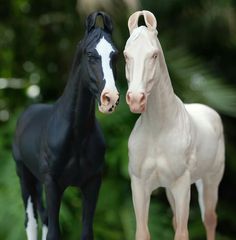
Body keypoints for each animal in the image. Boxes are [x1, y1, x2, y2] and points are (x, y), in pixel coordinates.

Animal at [12, 11, 119, 240]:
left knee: (43, 219)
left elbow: (86, 232)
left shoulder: (92, 183)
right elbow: (53, 232)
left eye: (115, 55)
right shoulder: (53, 185)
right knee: (31, 222)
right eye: (90, 54)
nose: (110, 99)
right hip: (24, 177)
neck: (76, 135)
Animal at [123, 10, 225, 240]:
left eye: (154, 55)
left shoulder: (181, 185)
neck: (159, 129)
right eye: (126, 55)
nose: (136, 100)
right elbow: (143, 232)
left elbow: (182, 232)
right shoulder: (140, 186)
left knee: (210, 220)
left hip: (210, 181)